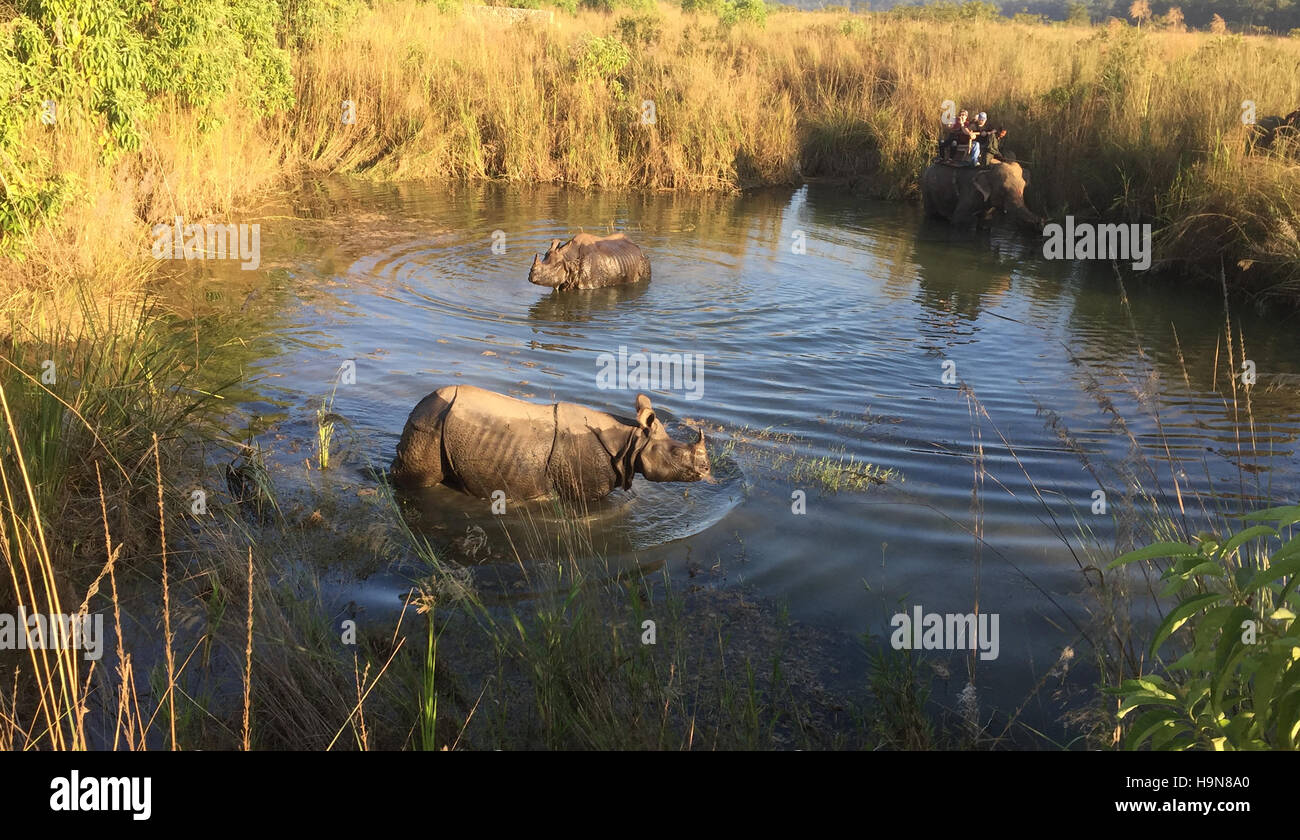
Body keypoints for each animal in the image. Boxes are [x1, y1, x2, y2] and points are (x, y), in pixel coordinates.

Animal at [387, 387, 712, 504]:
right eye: (675, 452)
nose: (707, 469)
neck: (630, 441)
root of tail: (422, 404)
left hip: (437, 423)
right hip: (430, 425)